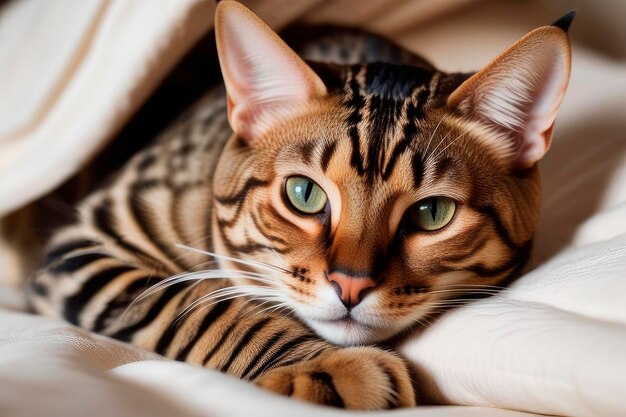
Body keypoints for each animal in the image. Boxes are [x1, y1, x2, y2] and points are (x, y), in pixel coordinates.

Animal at [30, 0, 576, 410]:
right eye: (304, 194)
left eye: (432, 213)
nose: (351, 285)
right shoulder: (89, 243)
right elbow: (202, 305)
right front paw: (325, 366)